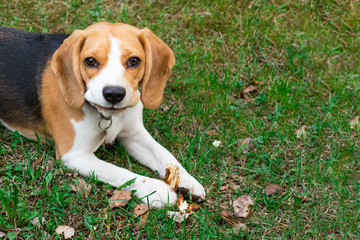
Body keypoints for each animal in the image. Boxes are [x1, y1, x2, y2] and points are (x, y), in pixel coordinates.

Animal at [0, 22, 205, 208]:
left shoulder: (134, 134)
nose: (114, 93)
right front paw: (157, 190)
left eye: (134, 61)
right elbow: (119, 172)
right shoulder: (75, 155)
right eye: (90, 61)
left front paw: (186, 179)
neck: (107, 116)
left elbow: (164, 153)